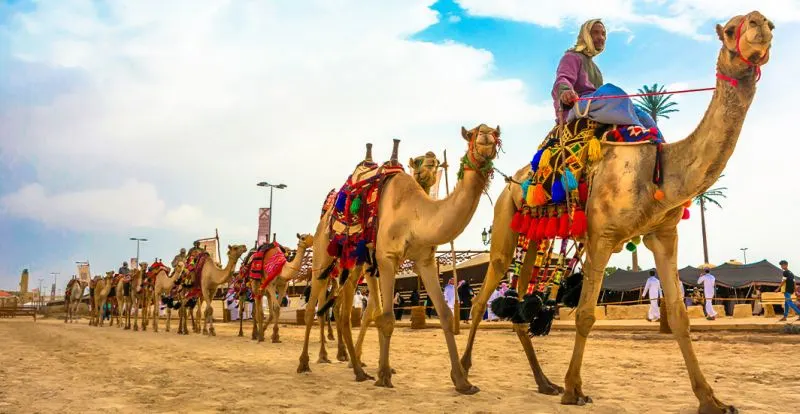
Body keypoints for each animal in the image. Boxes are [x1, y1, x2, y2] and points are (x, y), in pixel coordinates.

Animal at [298, 126, 498, 394]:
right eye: (474, 134)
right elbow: (386, 317)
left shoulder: (424, 260)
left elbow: (444, 314)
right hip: (323, 256)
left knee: (342, 313)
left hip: (354, 266)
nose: (486, 137)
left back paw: (358, 370)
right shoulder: (386, 258)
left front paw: (462, 381)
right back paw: (306, 363)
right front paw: (383, 375)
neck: (415, 216)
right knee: (314, 309)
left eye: (495, 132)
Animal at [459, 12, 772, 413]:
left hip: (534, 237)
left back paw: (544, 383)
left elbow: (680, 317)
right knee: (482, 296)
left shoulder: (663, 234)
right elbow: (586, 315)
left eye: (765, 24)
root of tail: (512, 182)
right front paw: (574, 389)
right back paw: (464, 377)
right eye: (731, 30)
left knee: (518, 302)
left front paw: (712, 400)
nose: (761, 24)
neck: (659, 171)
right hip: (503, 221)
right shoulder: (602, 235)